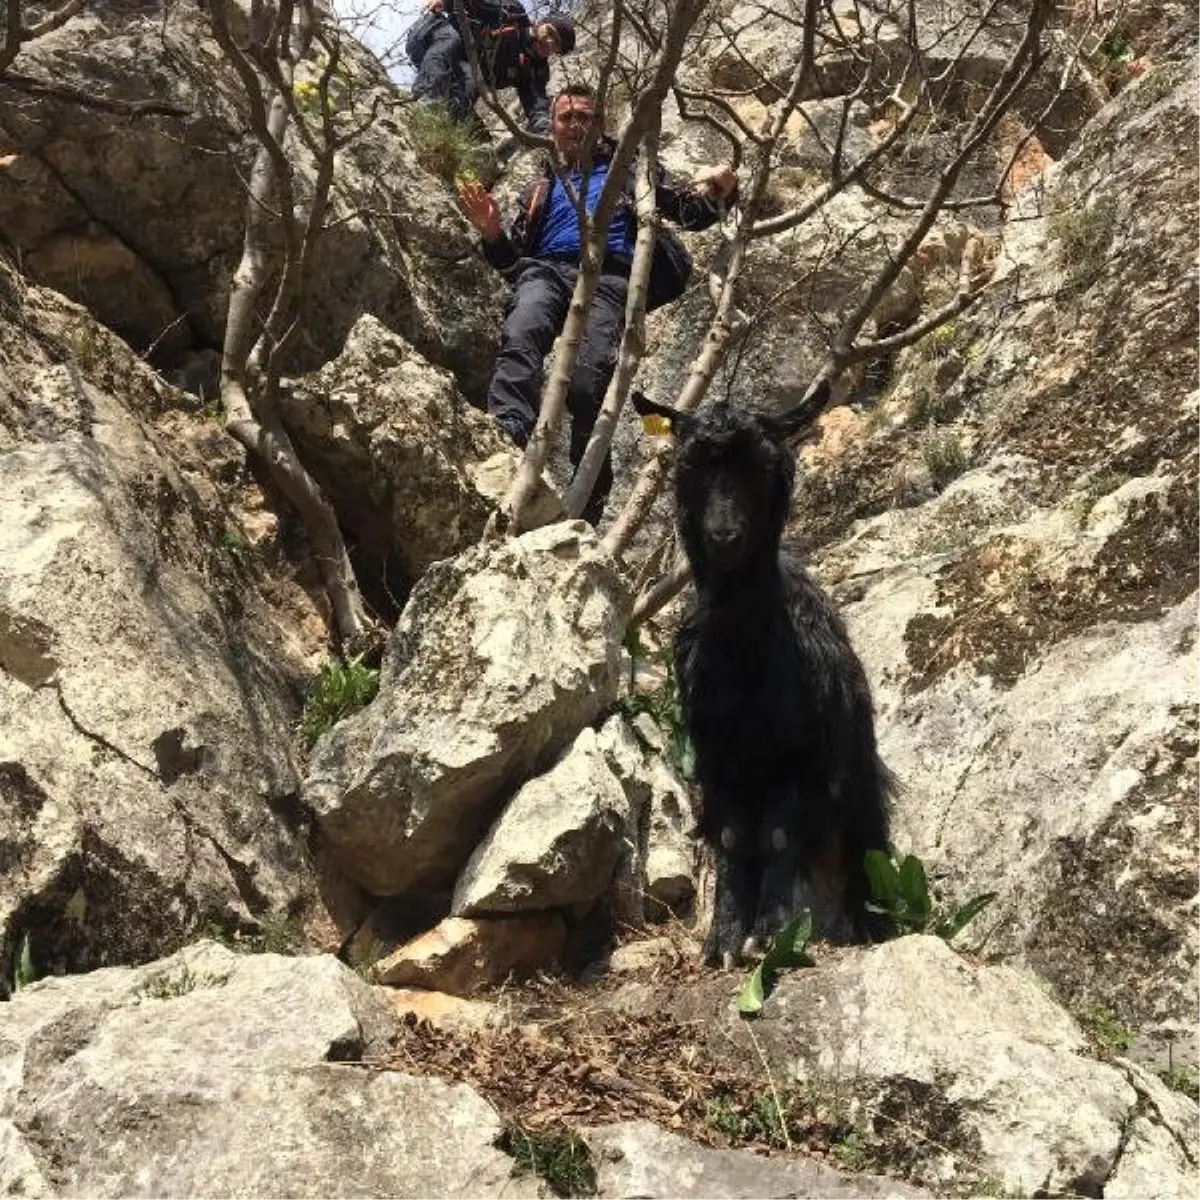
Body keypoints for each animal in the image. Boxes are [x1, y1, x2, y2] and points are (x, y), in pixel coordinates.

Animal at [633, 388, 897, 969]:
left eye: (763, 465)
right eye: (689, 465)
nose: (724, 536)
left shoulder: (798, 758)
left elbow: (778, 837)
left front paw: (770, 935)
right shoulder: (717, 757)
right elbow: (734, 841)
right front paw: (723, 941)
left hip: (858, 782)